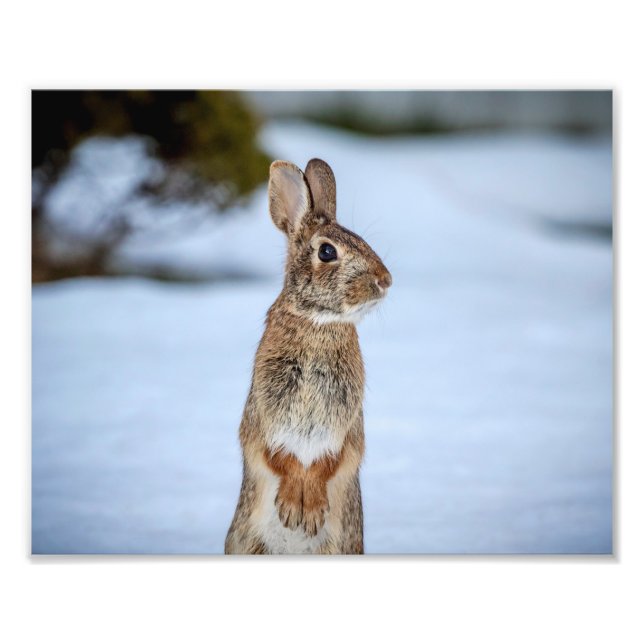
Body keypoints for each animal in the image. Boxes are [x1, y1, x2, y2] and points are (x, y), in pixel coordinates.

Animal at [225, 158, 392, 554]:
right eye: (327, 252)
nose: (386, 280)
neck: (318, 321)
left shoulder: (346, 427)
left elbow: (329, 463)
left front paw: (309, 511)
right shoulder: (263, 415)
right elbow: (280, 458)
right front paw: (292, 509)